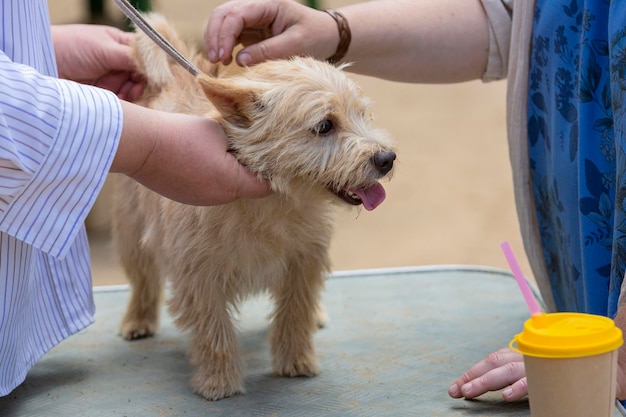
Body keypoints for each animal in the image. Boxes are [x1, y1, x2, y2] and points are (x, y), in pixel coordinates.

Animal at [112, 15, 394, 400]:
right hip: (131, 234)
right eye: (325, 126)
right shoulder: (199, 277)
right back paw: (138, 319)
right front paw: (219, 381)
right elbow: (213, 330)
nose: (387, 158)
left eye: (362, 114)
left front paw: (296, 360)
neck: (274, 203)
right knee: (142, 279)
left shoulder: (304, 263)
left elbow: (296, 312)